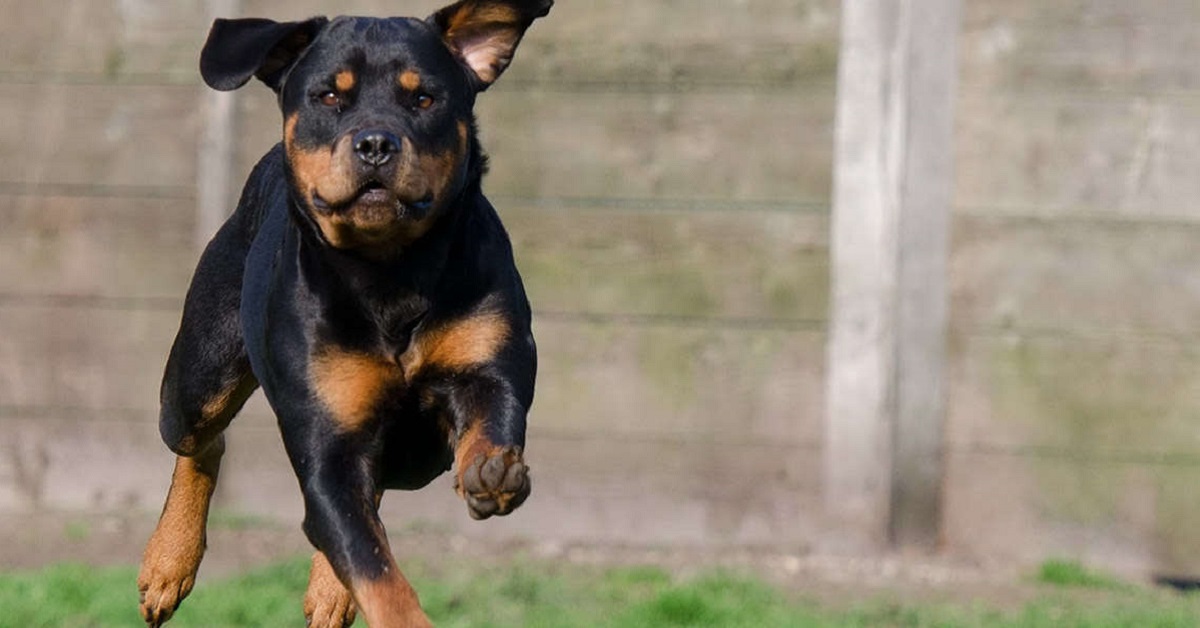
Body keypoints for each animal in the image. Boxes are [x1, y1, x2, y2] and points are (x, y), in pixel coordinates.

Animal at [135, 2, 549, 624]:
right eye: (329, 95)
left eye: (423, 98)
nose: (376, 142)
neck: (389, 271)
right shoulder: (327, 438)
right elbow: (372, 564)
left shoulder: (489, 360)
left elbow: (491, 415)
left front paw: (490, 471)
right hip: (197, 378)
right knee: (203, 442)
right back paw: (167, 564)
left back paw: (328, 590)